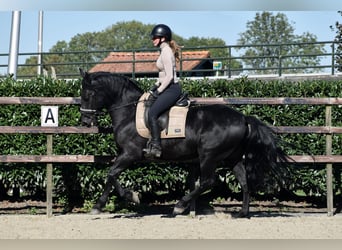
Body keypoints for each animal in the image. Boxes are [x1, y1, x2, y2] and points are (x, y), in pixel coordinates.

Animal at [79, 68, 292, 217]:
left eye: (87, 95)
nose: (85, 122)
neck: (129, 112)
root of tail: (243, 118)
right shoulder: (125, 155)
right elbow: (111, 176)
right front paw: (116, 200)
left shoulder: (130, 154)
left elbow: (111, 174)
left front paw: (117, 200)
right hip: (232, 157)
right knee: (244, 181)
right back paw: (242, 213)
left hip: (208, 155)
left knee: (208, 181)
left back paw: (180, 206)